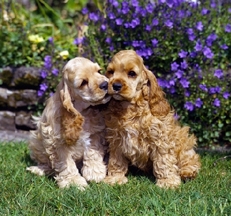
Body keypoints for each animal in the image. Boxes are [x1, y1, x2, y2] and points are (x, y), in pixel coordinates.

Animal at [26, 57, 111, 189]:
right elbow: (66, 164)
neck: (83, 111)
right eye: (83, 82)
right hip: (35, 141)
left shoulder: (96, 132)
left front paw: (95, 172)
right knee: (46, 163)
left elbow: (92, 151)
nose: (105, 84)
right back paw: (38, 169)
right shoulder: (56, 141)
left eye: (99, 71)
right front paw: (73, 182)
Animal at [104, 49, 201, 188]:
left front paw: (167, 181)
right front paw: (115, 178)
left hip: (184, 141)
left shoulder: (161, 139)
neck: (130, 108)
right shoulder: (116, 139)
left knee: (190, 159)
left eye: (132, 73)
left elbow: (163, 161)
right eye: (111, 72)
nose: (116, 85)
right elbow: (116, 160)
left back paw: (187, 172)